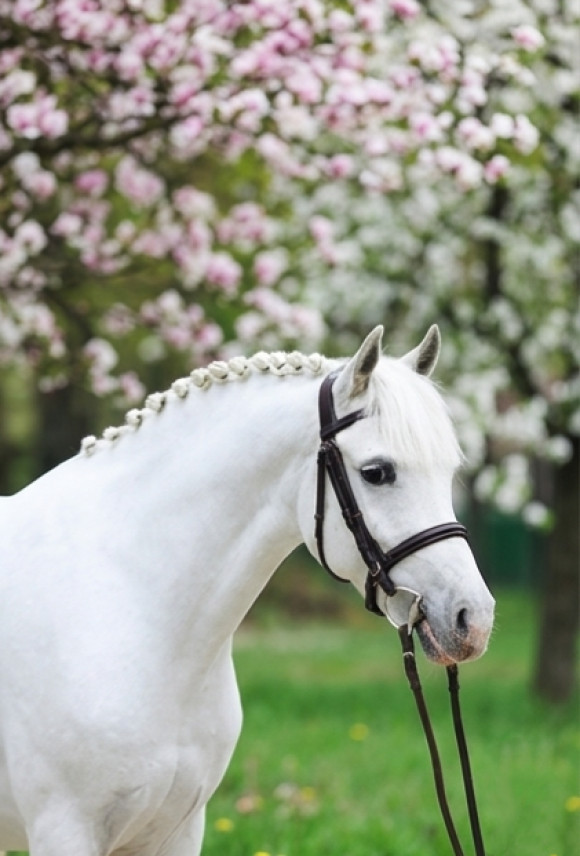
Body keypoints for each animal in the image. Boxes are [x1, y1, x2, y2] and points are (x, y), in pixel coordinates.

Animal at [0, 325, 494, 856]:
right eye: (377, 472)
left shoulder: (178, 829)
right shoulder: (65, 829)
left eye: (449, 472)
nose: (474, 619)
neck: (131, 600)